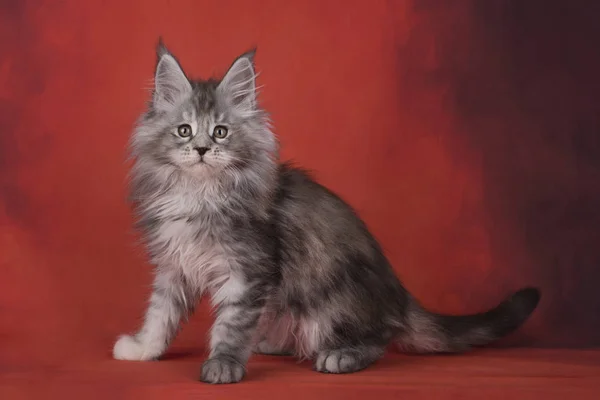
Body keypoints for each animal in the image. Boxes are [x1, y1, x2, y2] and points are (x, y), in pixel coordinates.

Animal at [111, 39, 540, 384]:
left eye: (220, 132)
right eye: (184, 130)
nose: (201, 149)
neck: (200, 194)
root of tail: (398, 298)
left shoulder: (247, 270)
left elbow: (231, 324)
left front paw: (223, 365)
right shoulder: (175, 265)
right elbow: (160, 315)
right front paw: (142, 349)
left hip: (332, 300)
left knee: (379, 338)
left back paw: (340, 356)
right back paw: (272, 342)